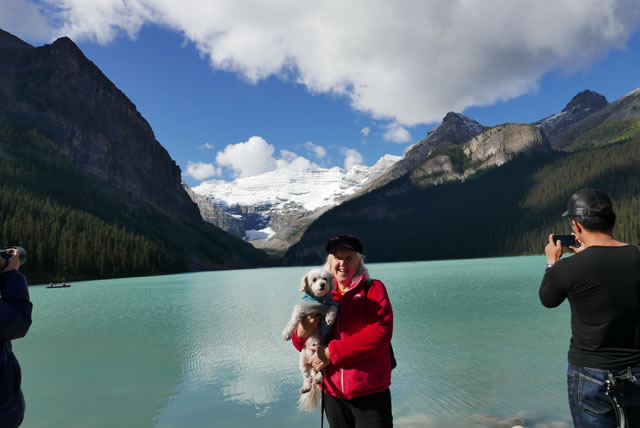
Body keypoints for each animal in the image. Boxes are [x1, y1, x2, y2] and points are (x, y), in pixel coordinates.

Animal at [282, 268, 338, 411]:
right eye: (314, 280)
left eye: (325, 279)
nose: (322, 284)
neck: (318, 301)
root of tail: (311, 362)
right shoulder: (301, 309)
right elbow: (293, 321)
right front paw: (287, 333)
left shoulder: (331, 304)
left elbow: (332, 308)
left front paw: (330, 318)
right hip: (302, 363)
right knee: (307, 377)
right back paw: (306, 386)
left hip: (322, 361)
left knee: (319, 374)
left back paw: (318, 379)